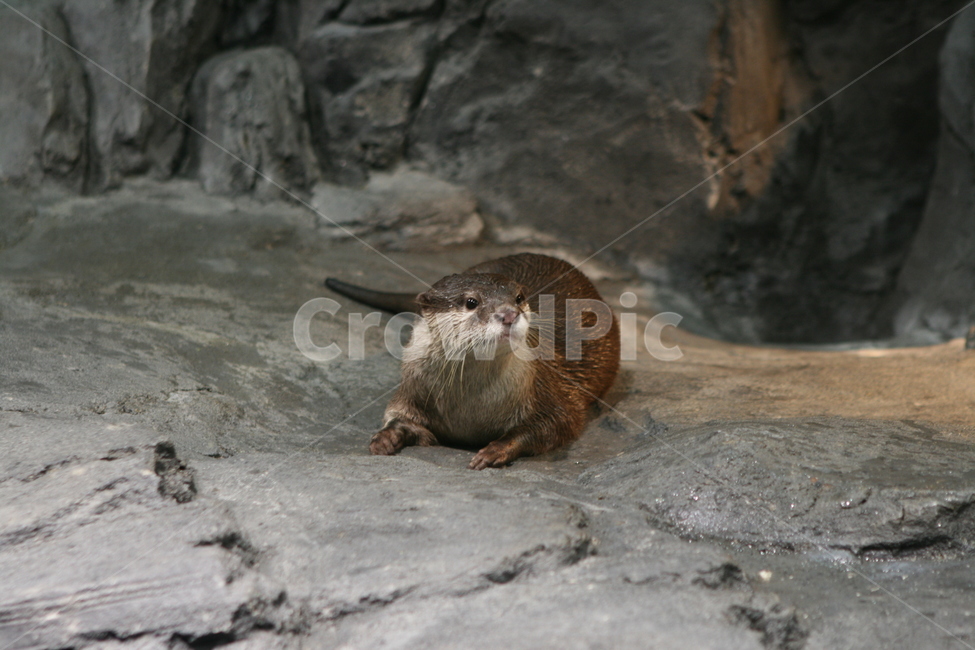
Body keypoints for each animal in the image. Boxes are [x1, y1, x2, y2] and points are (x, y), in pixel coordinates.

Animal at [325, 253, 620, 469]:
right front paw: (385, 437)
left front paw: (495, 450)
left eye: (519, 298)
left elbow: (556, 422)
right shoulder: (412, 391)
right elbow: (401, 418)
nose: (509, 314)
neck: (472, 407)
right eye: (471, 301)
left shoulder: (549, 391)